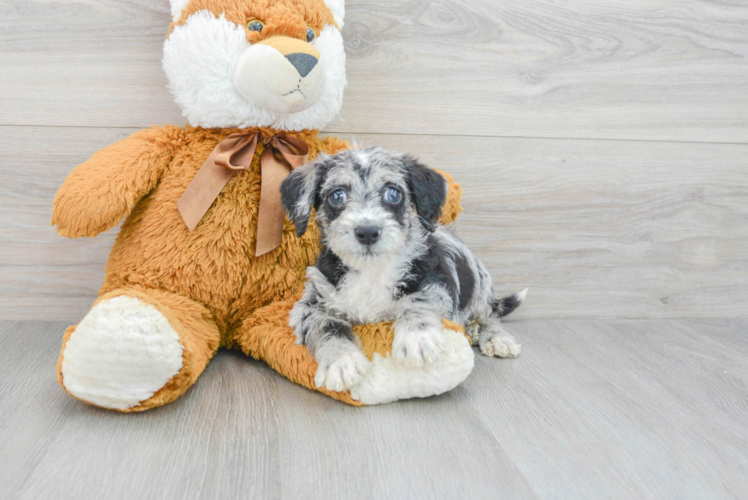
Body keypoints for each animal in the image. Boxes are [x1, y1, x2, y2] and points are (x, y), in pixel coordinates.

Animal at [280, 146, 524, 392]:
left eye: (393, 193)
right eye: (336, 195)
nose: (367, 232)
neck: (372, 271)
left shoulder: (435, 281)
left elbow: (416, 301)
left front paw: (418, 337)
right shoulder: (313, 304)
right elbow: (325, 327)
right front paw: (341, 361)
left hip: (480, 288)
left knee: (491, 316)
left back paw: (496, 338)